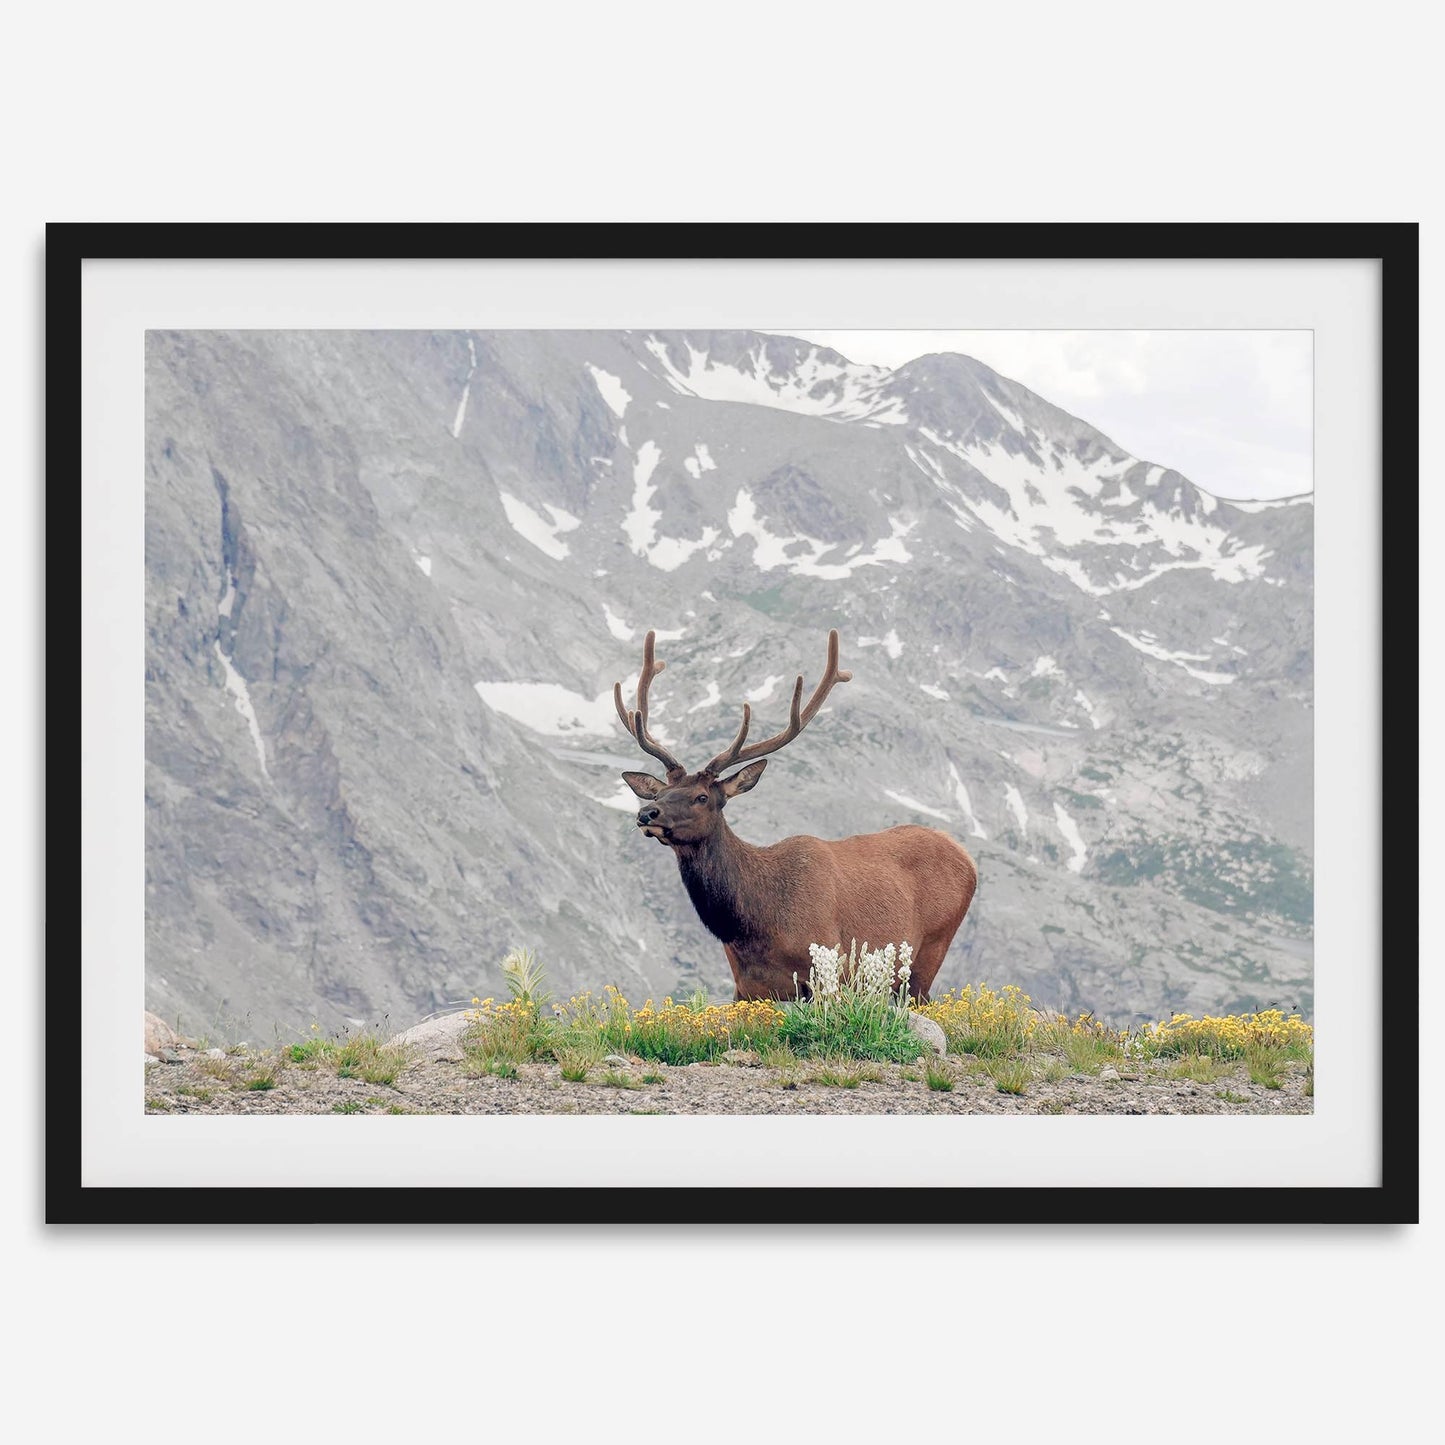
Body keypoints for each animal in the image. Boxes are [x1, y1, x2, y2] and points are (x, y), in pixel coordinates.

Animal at [615, 628, 978, 1002]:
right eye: (658, 793)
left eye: (701, 797)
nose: (647, 813)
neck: (754, 926)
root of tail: (966, 857)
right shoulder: (746, 988)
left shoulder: (830, 967)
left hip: (930, 951)